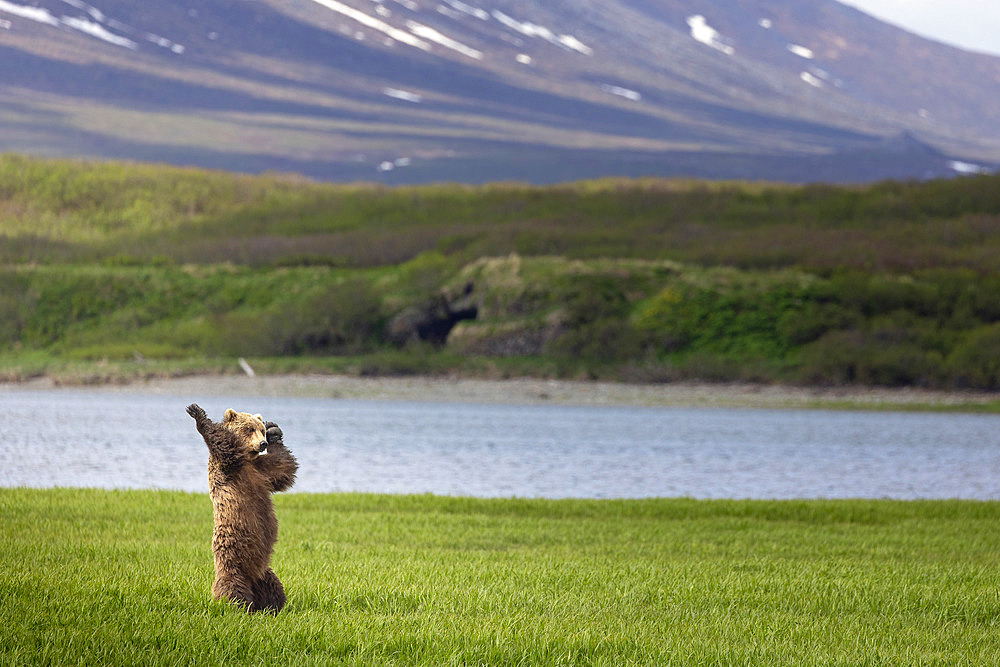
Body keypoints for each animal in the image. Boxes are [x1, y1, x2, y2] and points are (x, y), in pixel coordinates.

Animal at [187, 402, 296, 616]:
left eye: (261, 430)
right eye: (249, 428)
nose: (263, 443)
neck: (247, 460)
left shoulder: (261, 472)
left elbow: (283, 466)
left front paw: (274, 430)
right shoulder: (227, 468)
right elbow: (224, 445)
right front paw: (198, 414)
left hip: (263, 572)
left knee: (275, 587)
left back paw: (273, 607)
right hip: (234, 562)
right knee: (232, 588)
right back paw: (237, 606)